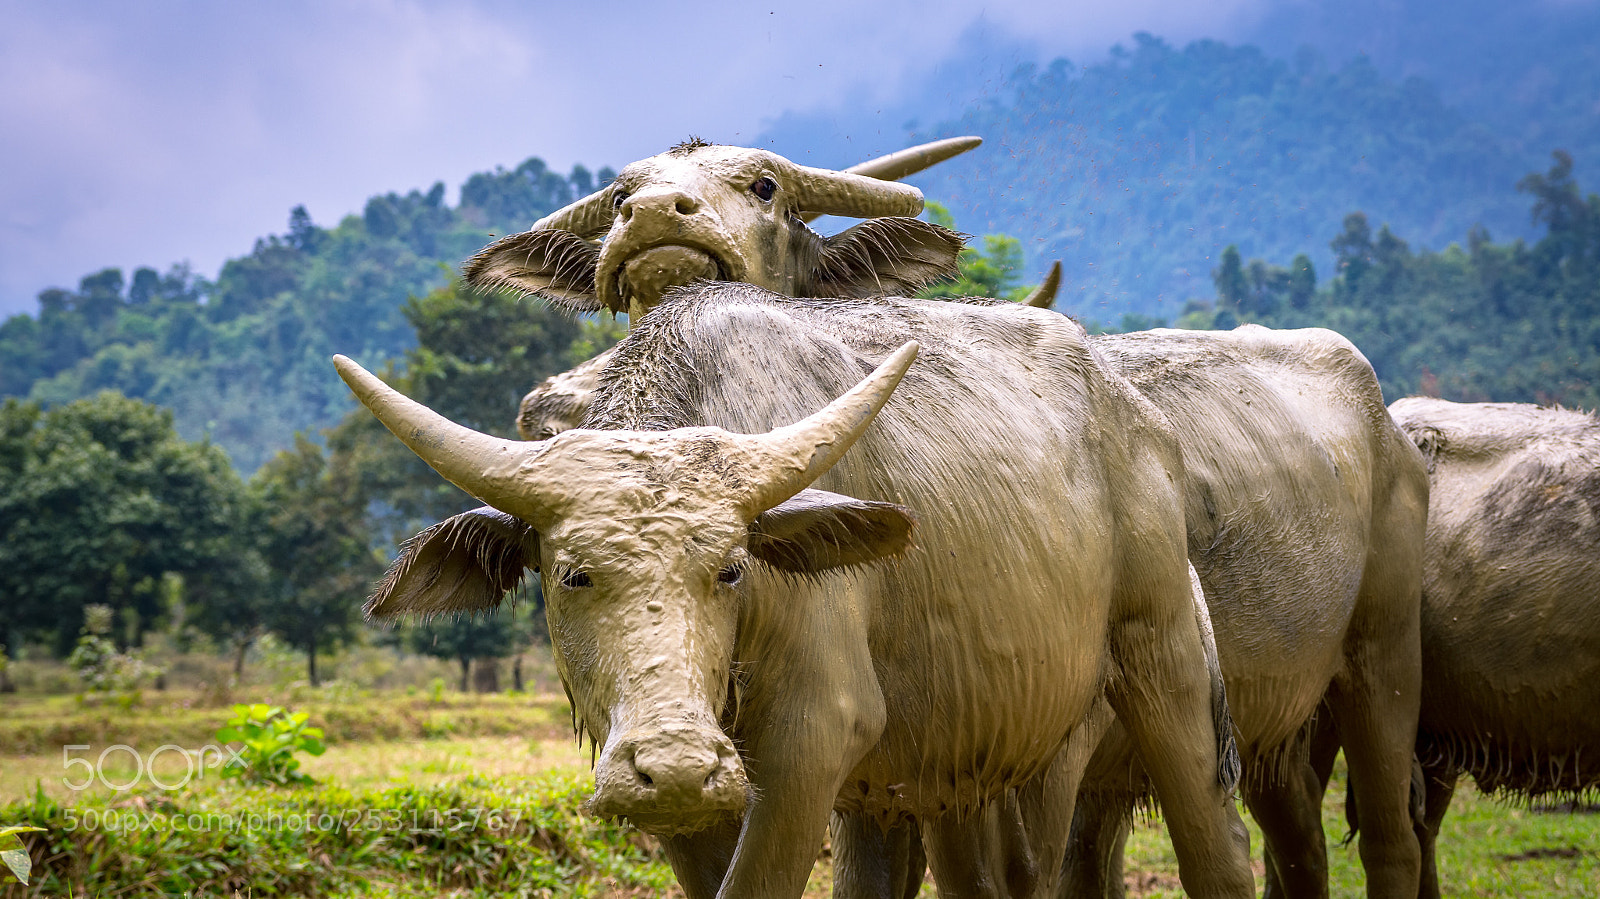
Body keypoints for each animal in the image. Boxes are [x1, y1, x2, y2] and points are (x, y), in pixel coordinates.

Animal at [338, 284, 1256, 898]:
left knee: (1213, 838)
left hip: (1163, 657)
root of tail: (1141, 417)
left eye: (730, 567)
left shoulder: (810, 741)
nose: (679, 762)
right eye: (573, 574)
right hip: (964, 743)